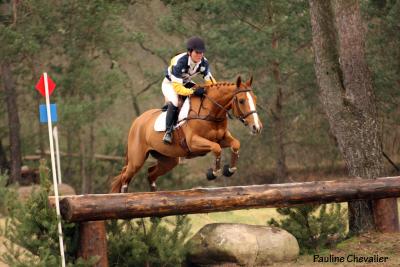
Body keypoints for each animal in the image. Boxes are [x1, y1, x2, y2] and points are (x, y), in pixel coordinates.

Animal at [111, 76, 264, 194]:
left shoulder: (222, 138)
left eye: (255, 99)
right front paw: (213, 173)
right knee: (125, 176)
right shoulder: (193, 142)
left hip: (169, 160)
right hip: (137, 159)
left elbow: (235, 144)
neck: (211, 112)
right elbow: (216, 148)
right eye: (242, 101)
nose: (257, 127)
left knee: (151, 173)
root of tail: (137, 121)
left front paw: (230, 170)